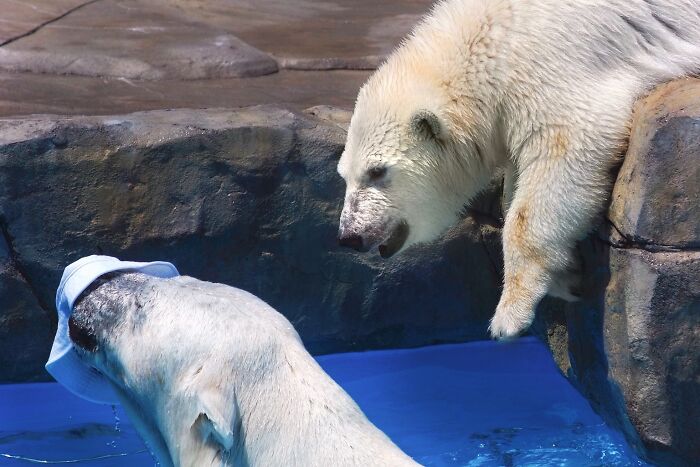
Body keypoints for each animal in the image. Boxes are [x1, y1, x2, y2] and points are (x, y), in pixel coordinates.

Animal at [336, 0, 700, 338]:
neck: (493, 39)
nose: (349, 236)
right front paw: (567, 276)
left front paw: (509, 315)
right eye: (344, 174)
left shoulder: (552, 62)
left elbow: (565, 150)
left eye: (377, 171)